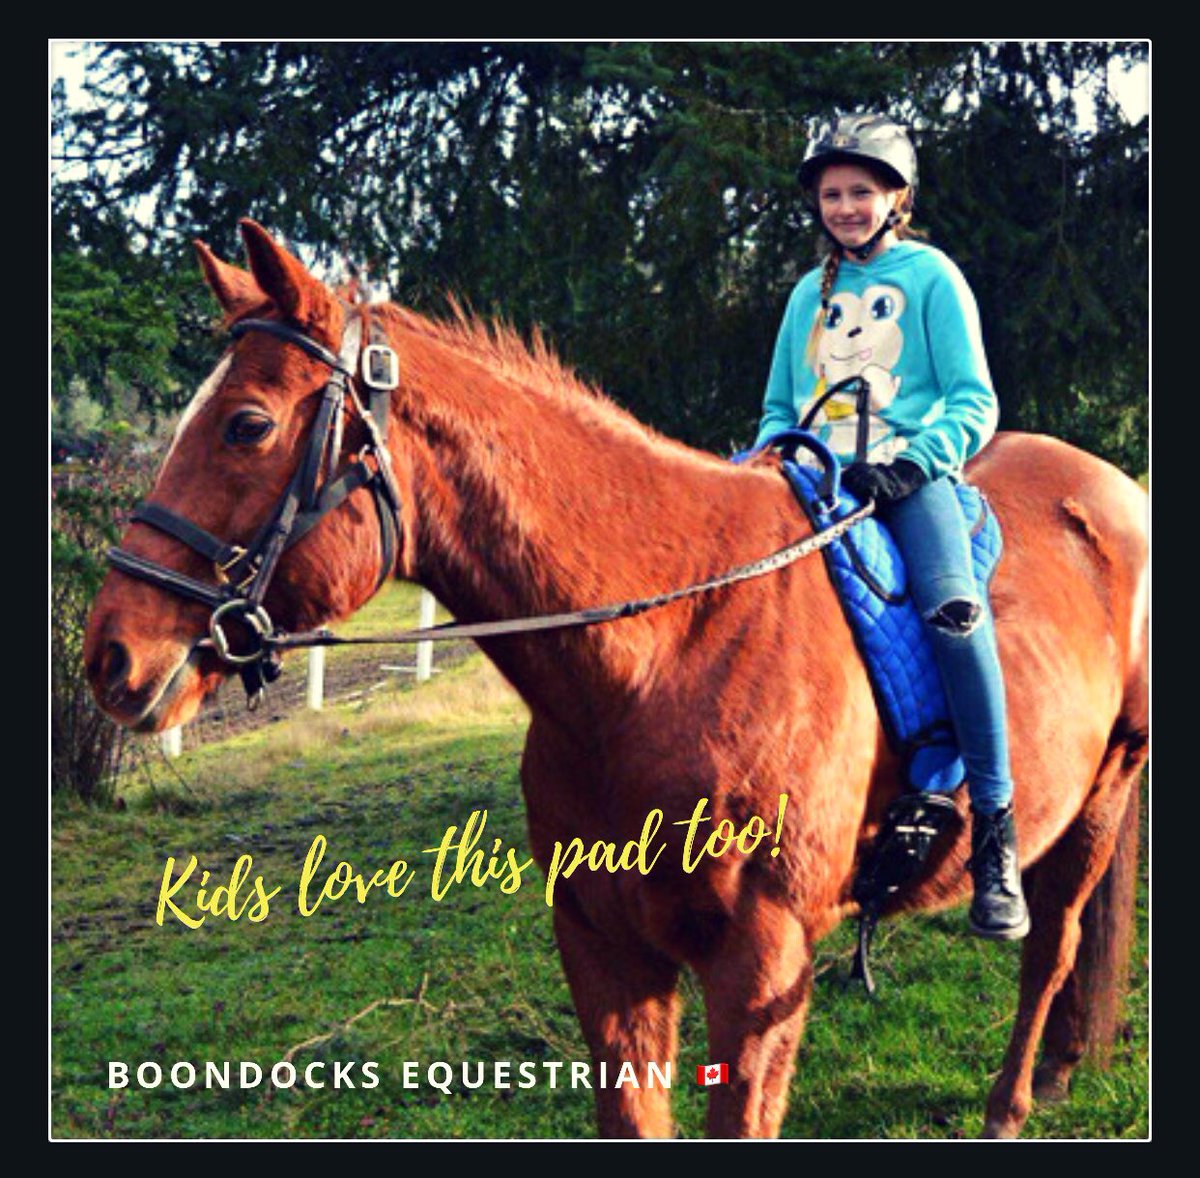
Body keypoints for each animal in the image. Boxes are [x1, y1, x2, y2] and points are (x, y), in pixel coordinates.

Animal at [83, 219, 1148, 1139]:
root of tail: (1111, 489)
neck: (664, 656)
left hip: (1099, 798)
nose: (109, 657)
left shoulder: (759, 966)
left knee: (1051, 945)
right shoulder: (604, 946)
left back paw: (1013, 1100)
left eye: (247, 425)